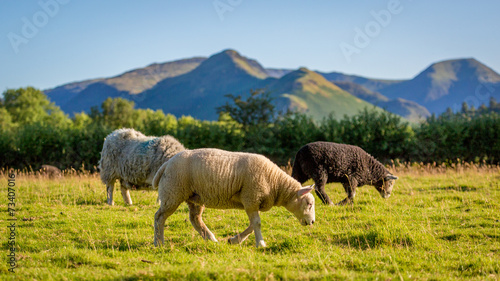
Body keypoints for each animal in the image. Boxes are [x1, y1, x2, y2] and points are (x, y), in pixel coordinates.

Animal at [154, 148, 314, 246]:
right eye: (309, 203)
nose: (312, 222)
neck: (275, 182)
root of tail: (166, 164)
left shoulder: (252, 202)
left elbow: (252, 225)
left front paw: (234, 240)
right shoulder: (251, 198)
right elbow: (257, 224)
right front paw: (261, 244)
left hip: (194, 197)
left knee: (195, 219)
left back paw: (212, 240)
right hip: (172, 193)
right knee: (159, 217)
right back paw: (159, 243)